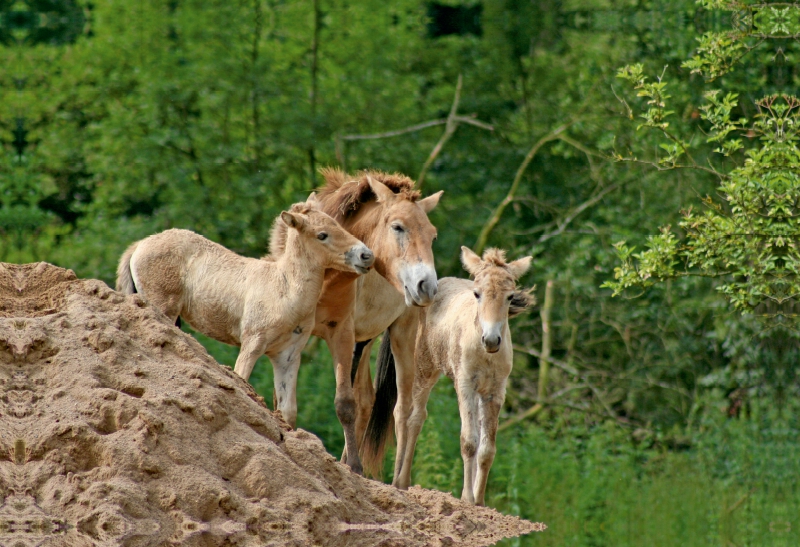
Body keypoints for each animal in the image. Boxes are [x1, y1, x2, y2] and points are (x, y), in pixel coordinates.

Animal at [115, 198, 376, 428]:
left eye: (338, 224)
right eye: (322, 235)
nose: (367, 255)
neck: (284, 288)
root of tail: (140, 245)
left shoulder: (288, 355)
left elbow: (287, 411)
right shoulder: (252, 344)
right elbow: (243, 381)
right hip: (162, 309)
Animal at [310, 168, 444, 476]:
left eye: (432, 236)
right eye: (398, 227)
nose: (426, 287)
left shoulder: (345, 336)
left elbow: (346, 402)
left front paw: (353, 466)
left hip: (400, 336)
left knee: (402, 410)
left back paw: (398, 481)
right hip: (364, 340)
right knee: (367, 399)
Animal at [366, 247, 536, 506]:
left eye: (509, 297)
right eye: (477, 294)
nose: (491, 340)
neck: (483, 352)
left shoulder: (495, 392)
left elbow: (487, 449)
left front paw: (480, 502)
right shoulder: (464, 385)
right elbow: (469, 442)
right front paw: (466, 498)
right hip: (422, 369)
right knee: (410, 416)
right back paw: (400, 481)